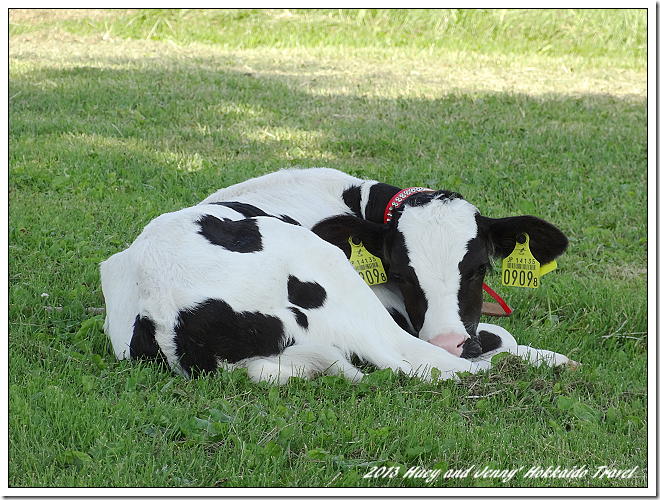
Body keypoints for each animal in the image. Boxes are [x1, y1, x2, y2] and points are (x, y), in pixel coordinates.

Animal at [102, 168, 572, 382]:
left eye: (479, 268)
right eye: (401, 274)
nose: (451, 340)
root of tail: (161, 309)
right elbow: (496, 339)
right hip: (333, 278)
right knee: (420, 363)